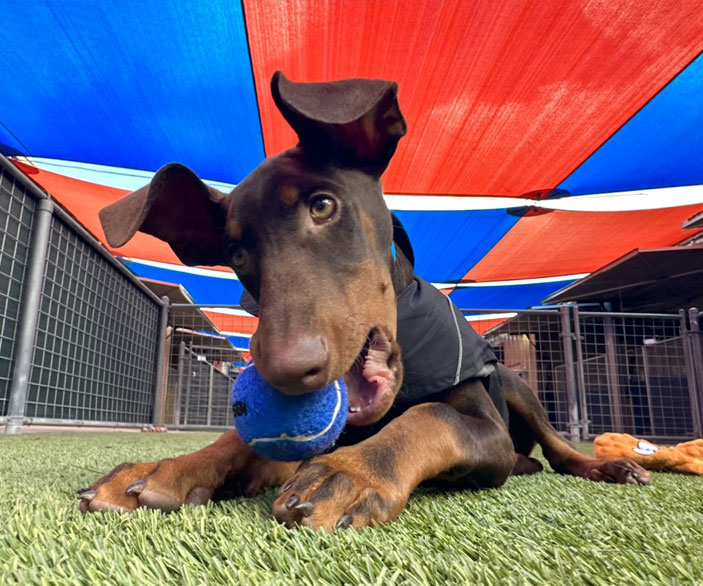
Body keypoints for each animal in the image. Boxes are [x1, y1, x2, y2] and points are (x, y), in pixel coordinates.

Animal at [75, 73, 648, 528]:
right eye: (236, 252)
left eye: (323, 206)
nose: (285, 372)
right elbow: (239, 441)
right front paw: (164, 468)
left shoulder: (487, 432)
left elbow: (430, 418)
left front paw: (348, 474)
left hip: (516, 385)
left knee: (559, 450)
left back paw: (609, 466)